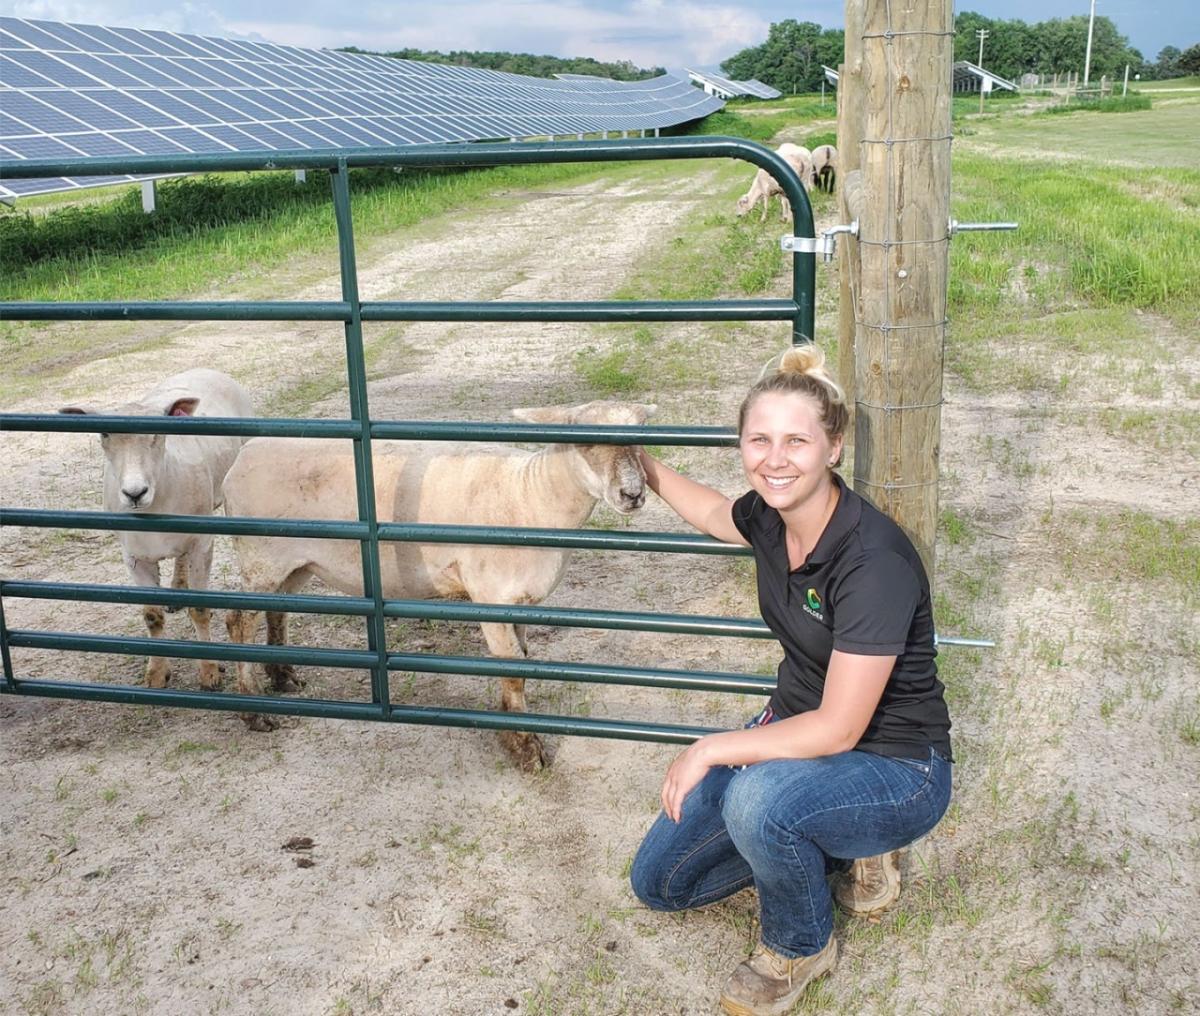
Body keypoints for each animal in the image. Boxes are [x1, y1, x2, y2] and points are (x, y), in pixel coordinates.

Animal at [59, 367, 252, 690]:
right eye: (104, 433)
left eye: (157, 432)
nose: (134, 492)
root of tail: (204, 368)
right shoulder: (133, 556)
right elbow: (152, 616)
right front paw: (157, 673)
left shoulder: (202, 543)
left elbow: (200, 610)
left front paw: (209, 671)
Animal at [225, 398, 657, 772]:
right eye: (584, 441)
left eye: (643, 438)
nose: (633, 494)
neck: (531, 496)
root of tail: (243, 455)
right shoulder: (490, 596)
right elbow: (512, 670)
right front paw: (525, 747)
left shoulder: (519, 600)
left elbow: (522, 663)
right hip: (261, 556)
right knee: (239, 622)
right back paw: (253, 710)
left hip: (295, 562)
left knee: (276, 611)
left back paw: (282, 677)